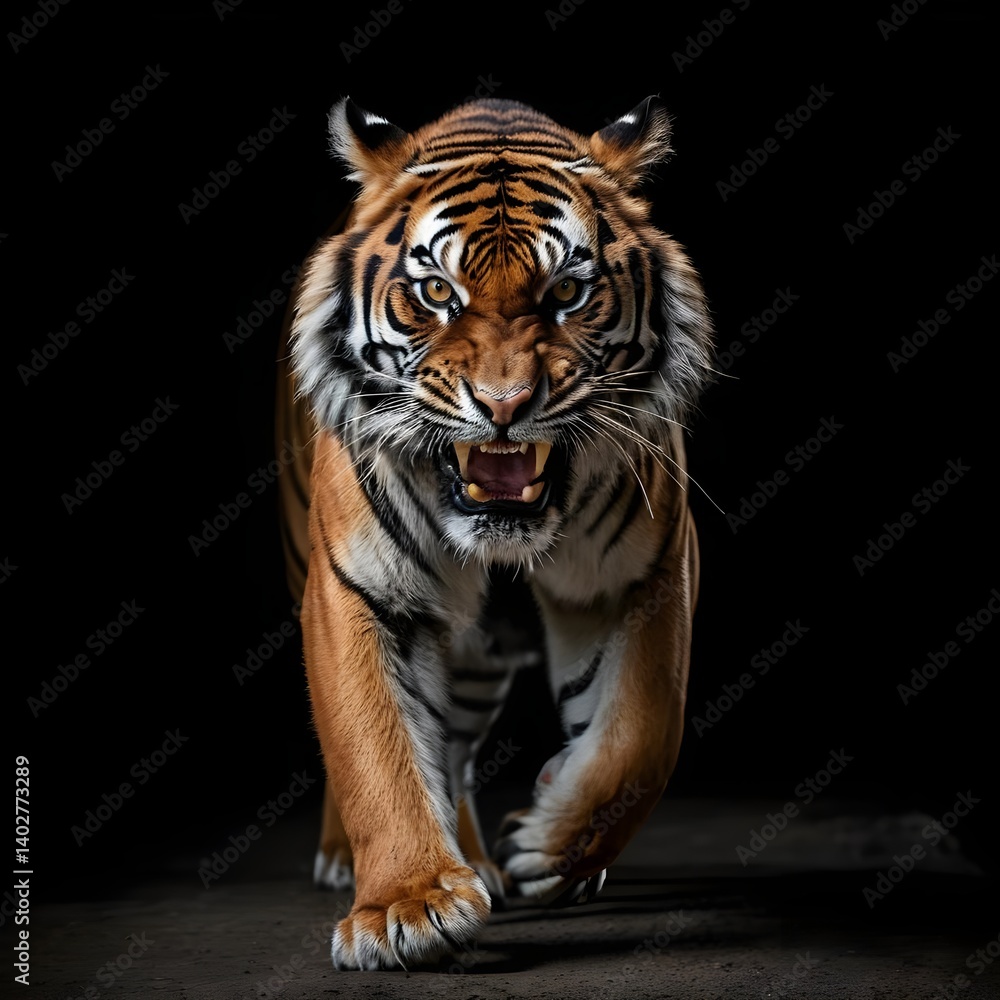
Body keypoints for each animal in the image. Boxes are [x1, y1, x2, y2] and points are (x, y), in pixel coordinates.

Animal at [274, 94, 714, 971]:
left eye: (569, 290)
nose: (505, 405)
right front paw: (406, 906)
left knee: (455, 752)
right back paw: (362, 860)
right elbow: (373, 746)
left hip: (480, 663)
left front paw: (547, 849)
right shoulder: (357, 590)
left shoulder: (644, 572)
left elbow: (640, 736)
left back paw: (482, 861)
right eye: (436, 290)